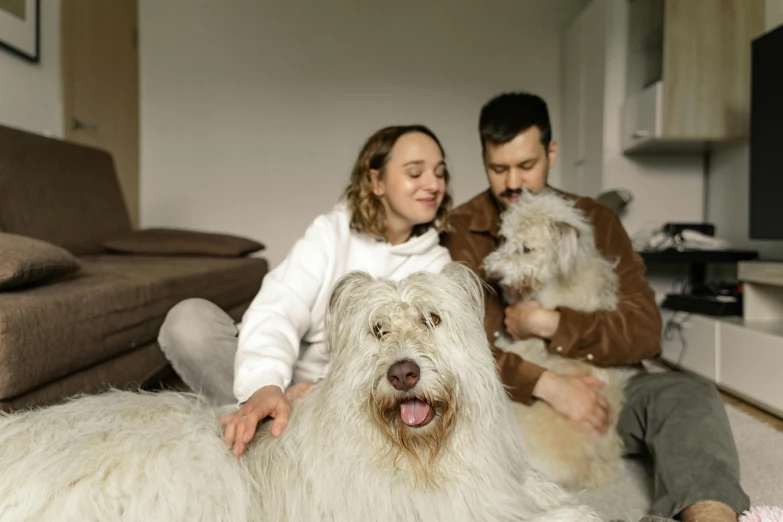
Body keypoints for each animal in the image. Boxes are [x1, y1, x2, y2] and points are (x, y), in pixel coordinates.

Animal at [0, 262, 604, 520]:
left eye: (432, 319)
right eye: (377, 330)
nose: (403, 374)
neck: (419, 454)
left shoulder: (493, 483)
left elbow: (542, 493)